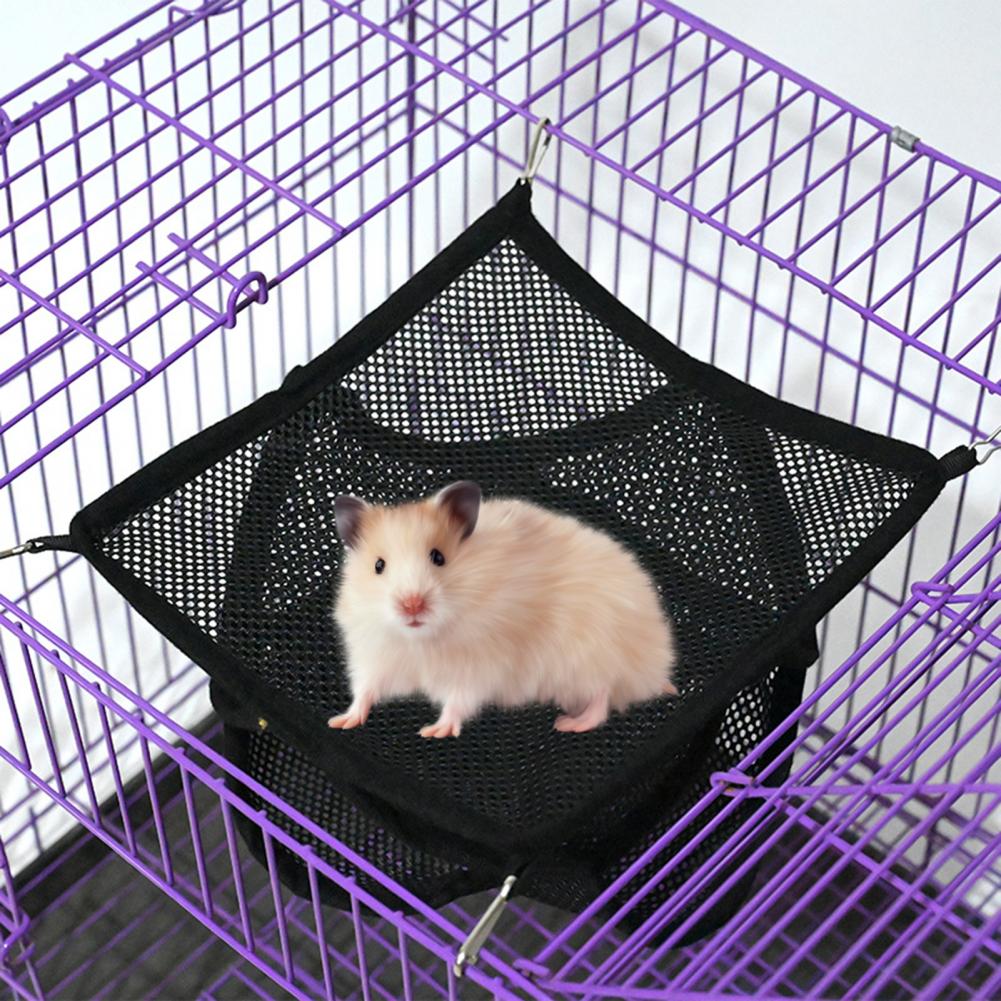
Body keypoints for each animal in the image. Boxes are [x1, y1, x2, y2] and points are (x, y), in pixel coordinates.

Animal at [328, 481, 677, 738]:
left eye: (439, 557)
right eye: (378, 565)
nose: (411, 605)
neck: (422, 639)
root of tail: (655, 665)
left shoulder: (477, 666)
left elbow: (458, 700)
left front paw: (433, 731)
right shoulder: (375, 656)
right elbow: (365, 689)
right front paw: (341, 720)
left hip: (592, 655)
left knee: (603, 695)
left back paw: (570, 723)